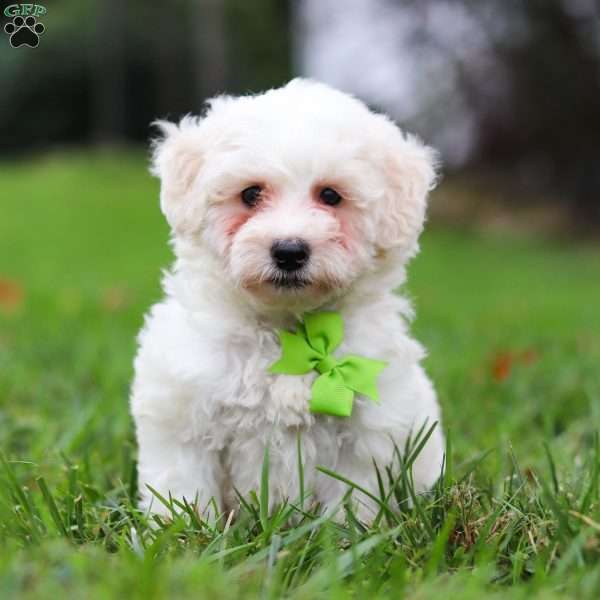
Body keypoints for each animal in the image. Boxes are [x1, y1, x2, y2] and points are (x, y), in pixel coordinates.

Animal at [130, 78, 440, 520]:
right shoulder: (183, 414)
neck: (287, 332)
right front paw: (179, 530)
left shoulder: (365, 435)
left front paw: (345, 532)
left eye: (330, 196)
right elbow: (183, 489)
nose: (290, 251)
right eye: (250, 194)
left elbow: (353, 499)